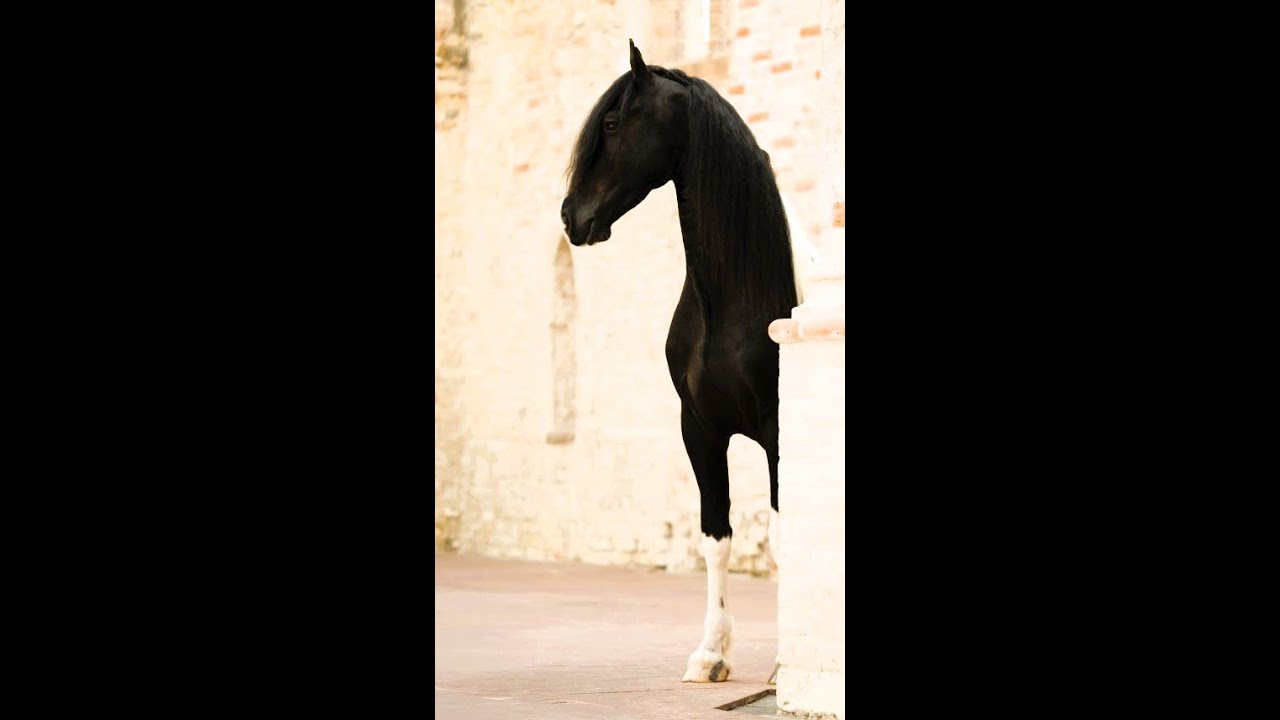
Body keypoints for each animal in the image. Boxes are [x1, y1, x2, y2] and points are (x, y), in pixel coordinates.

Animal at [561, 40, 804, 684]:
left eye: (612, 124)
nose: (570, 216)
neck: (731, 307)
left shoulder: (778, 433)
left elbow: (784, 537)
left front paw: (785, 665)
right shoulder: (698, 429)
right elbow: (716, 538)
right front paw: (711, 654)